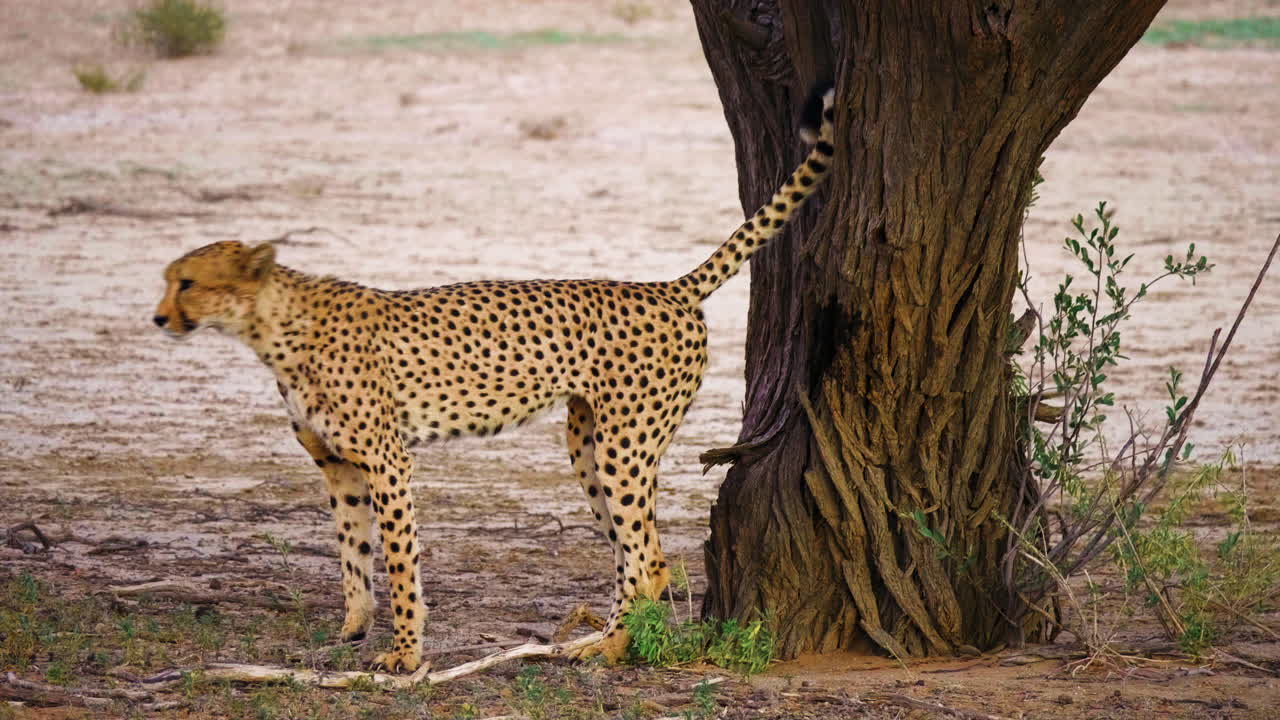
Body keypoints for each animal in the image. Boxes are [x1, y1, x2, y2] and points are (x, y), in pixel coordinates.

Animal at [152, 85, 835, 671]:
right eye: (169, 279)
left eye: (188, 282)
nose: (159, 317)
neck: (270, 328)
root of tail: (665, 288)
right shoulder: (339, 466)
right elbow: (352, 552)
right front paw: (351, 627)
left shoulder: (387, 461)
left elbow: (398, 561)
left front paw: (405, 656)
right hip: (588, 446)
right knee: (630, 553)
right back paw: (600, 641)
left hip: (625, 448)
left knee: (650, 563)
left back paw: (613, 651)